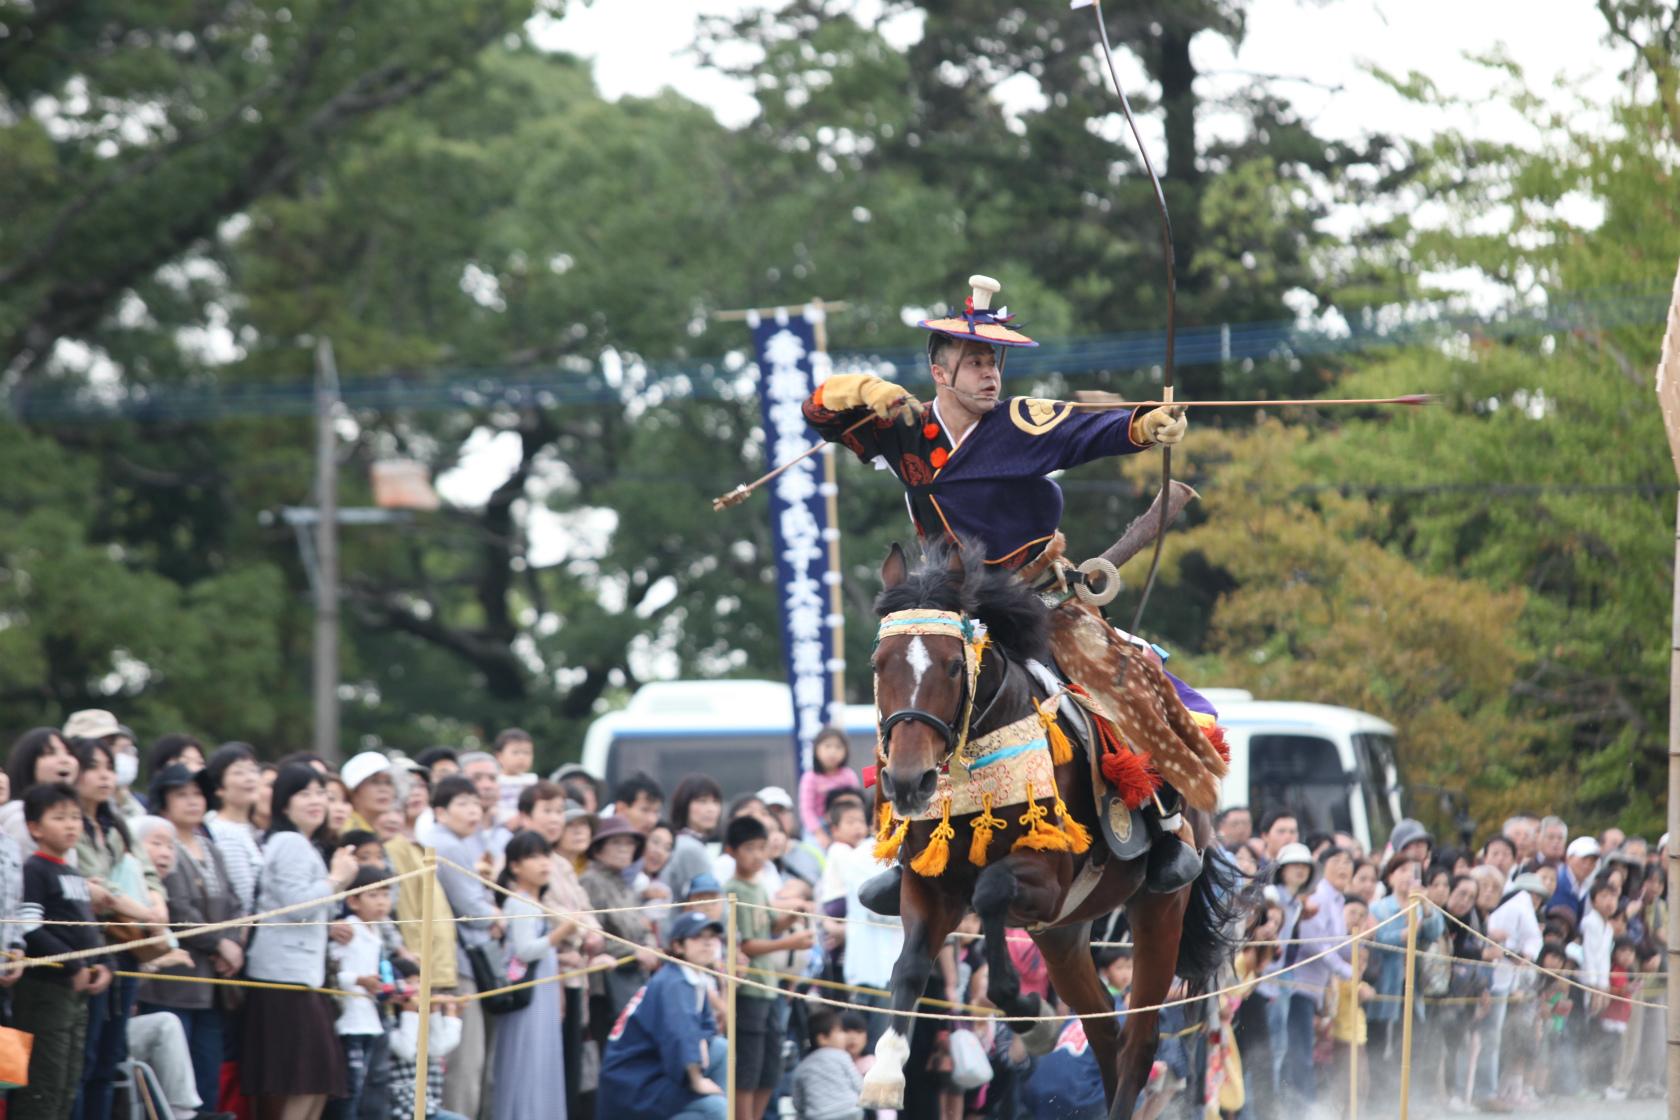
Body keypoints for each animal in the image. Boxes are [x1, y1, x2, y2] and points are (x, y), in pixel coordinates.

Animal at [866, 537, 1236, 1114]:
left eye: (951, 667)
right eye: (880, 665)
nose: (908, 780)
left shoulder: (1048, 877)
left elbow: (991, 891)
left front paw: (1031, 1016)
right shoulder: (931, 884)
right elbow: (908, 966)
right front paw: (884, 1071)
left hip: (1159, 908)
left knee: (1139, 1040)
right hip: (1064, 935)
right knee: (1104, 1032)